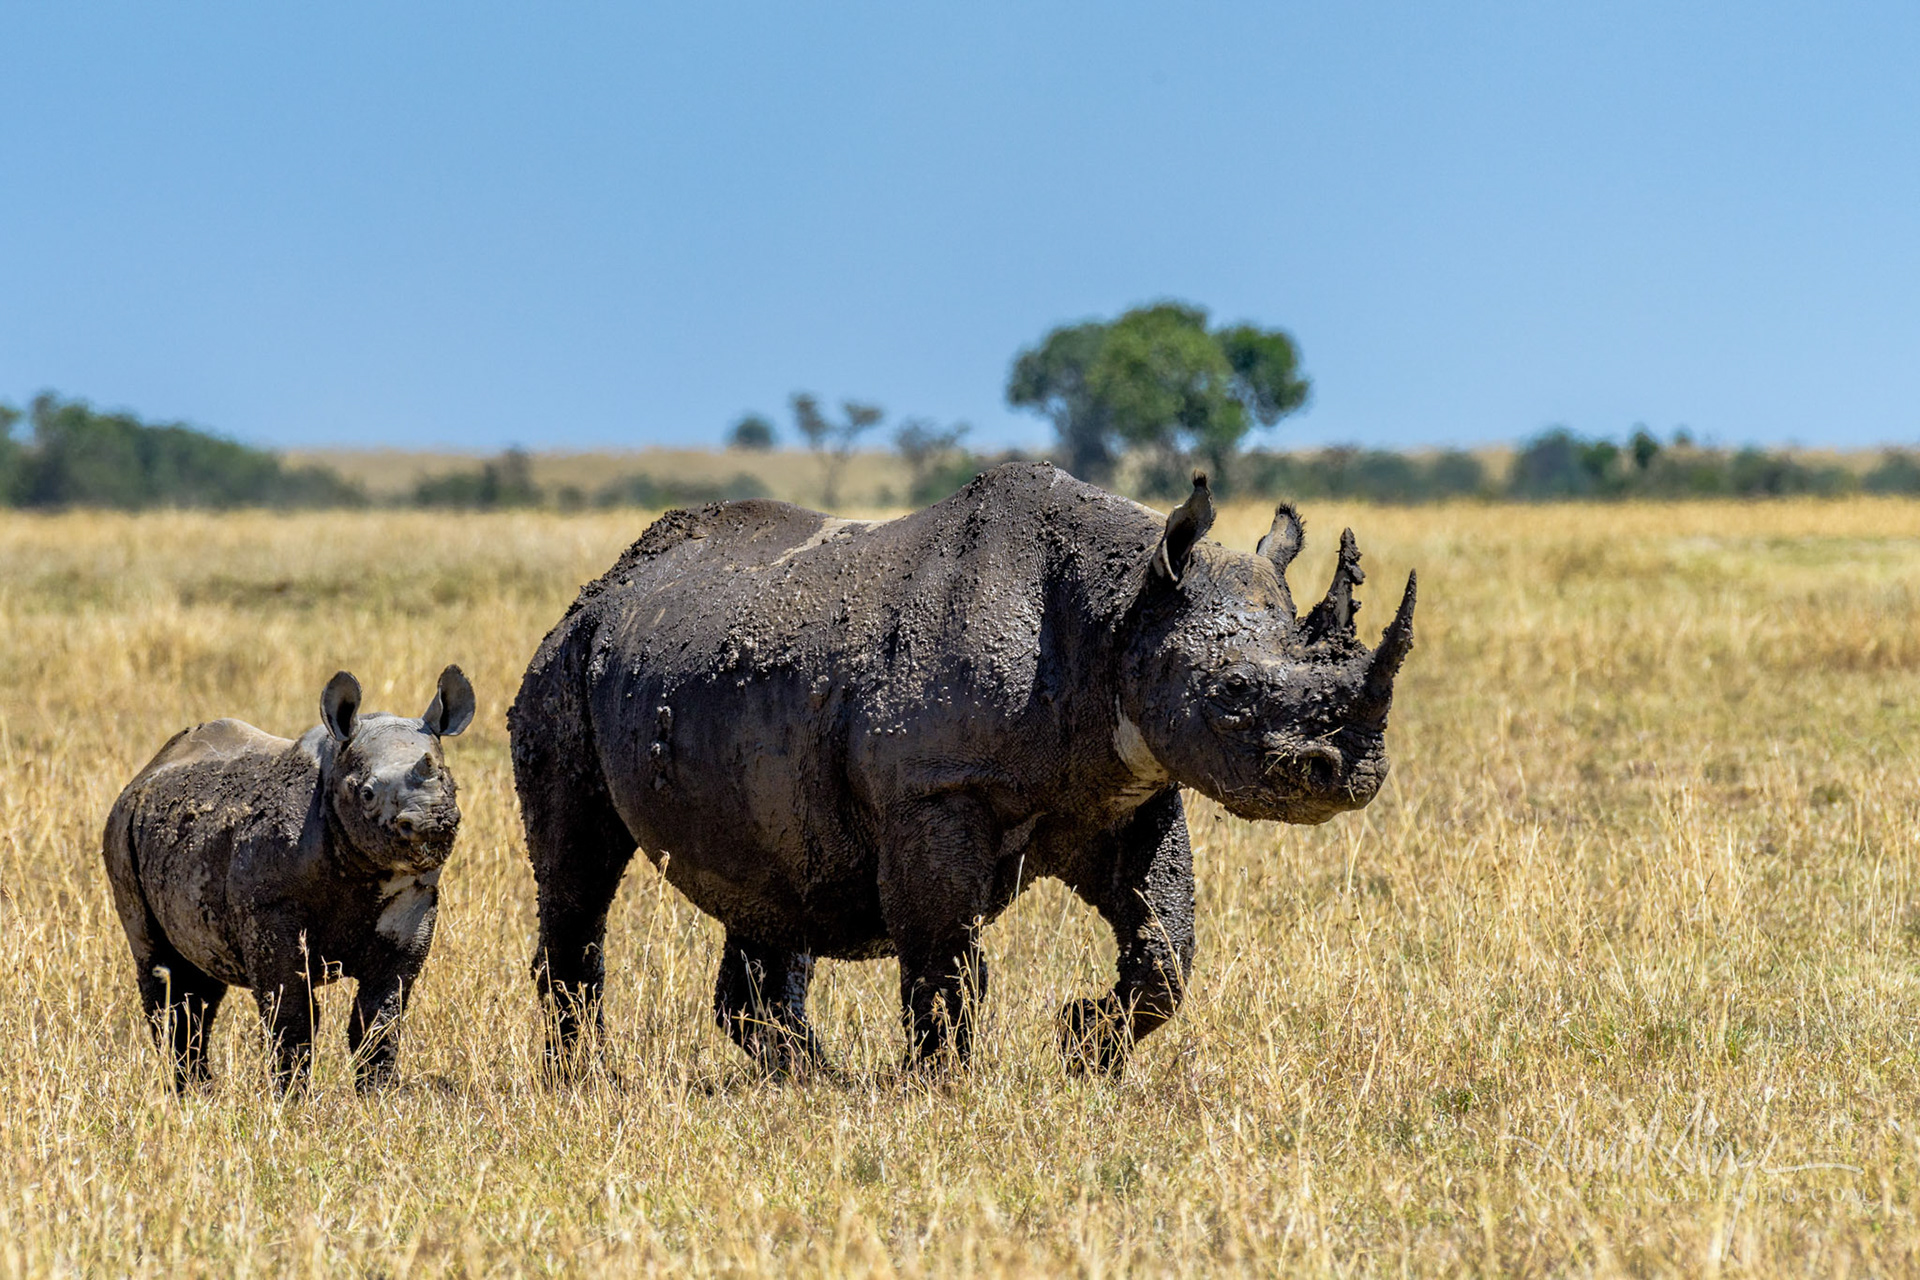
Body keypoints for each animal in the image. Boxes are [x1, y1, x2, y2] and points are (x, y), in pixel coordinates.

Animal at [103, 667, 476, 1092]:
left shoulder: (415, 897)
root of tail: (146, 772)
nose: (431, 822)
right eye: (366, 794)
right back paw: (188, 1093)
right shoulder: (269, 909)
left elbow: (380, 1016)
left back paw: (201, 1092)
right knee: (161, 972)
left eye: (449, 783)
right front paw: (292, 1099)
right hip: (119, 827)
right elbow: (291, 1014)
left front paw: (378, 1096)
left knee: (201, 979)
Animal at [509, 463, 1414, 1073]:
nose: (1351, 772)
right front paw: (941, 1087)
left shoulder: (1129, 789)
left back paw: (812, 1083)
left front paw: (1081, 1043)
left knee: (771, 880)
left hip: (718, 681)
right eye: (1230, 691)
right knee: (578, 872)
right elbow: (947, 953)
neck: (1122, 606)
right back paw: (586, 1082)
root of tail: (606, 585)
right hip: (562, 665)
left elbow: (1166, 945)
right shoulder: (935, 788)